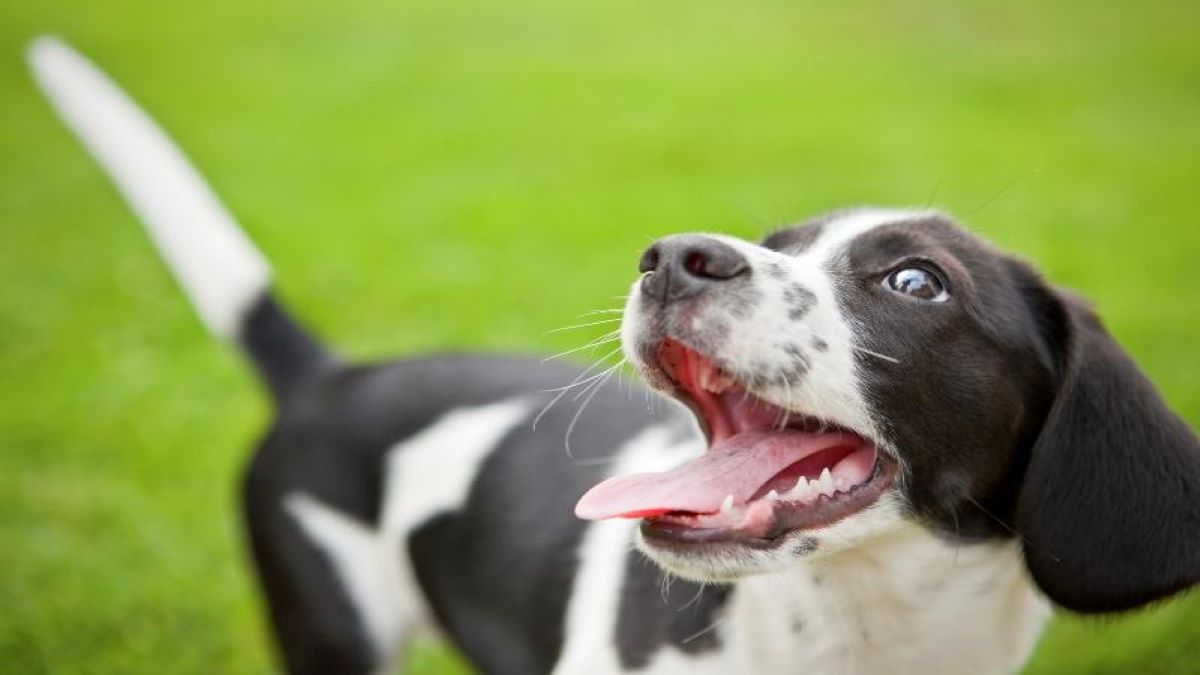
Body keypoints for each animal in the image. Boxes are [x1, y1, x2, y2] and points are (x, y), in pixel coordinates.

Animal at [30, 38, 1200, 672]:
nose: (674, 256)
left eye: (917, 282)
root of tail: (336, 376)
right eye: (777, 242)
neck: (856, 637)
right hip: (332, 626)